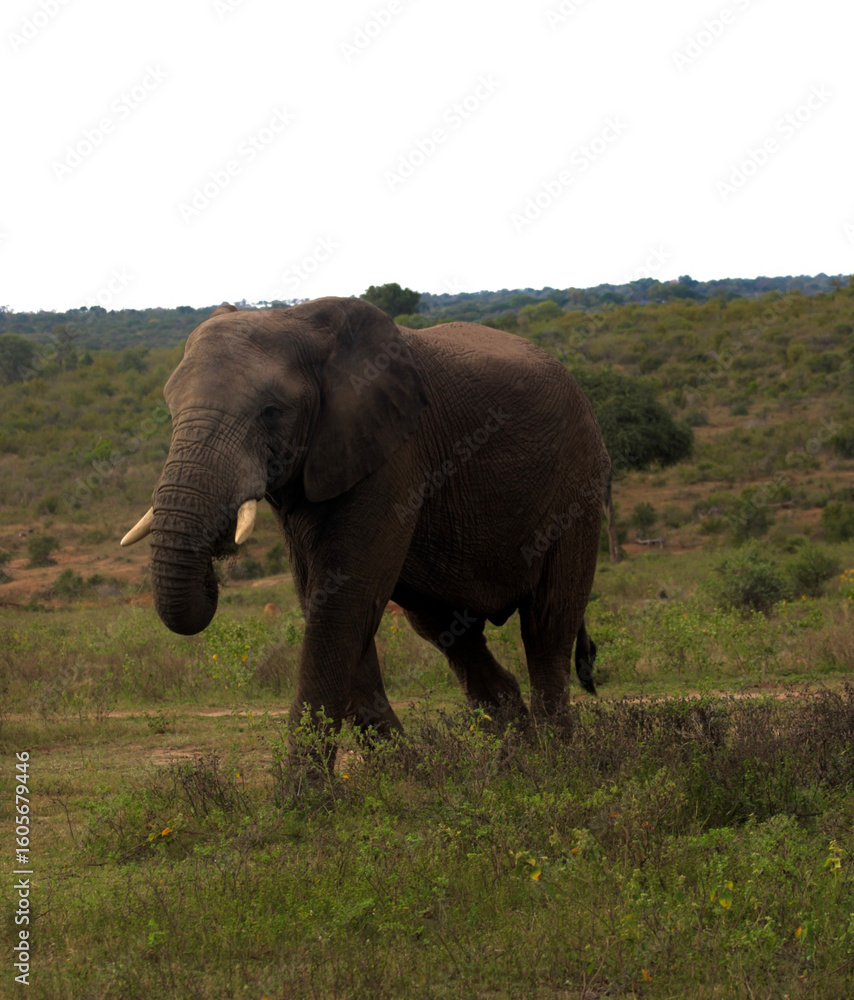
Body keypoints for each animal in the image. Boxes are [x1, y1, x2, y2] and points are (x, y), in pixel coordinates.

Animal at [122, 296, 610, 759]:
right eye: (170, 411)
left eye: (271, 411)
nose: (219, 553)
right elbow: (324, 599)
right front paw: (406, 773)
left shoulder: (393, 454)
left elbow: (344, 599)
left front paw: (302, 793)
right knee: (448, 631)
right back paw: (513, 757)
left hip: (579, 483)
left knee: (547, 622)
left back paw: (554, 760)